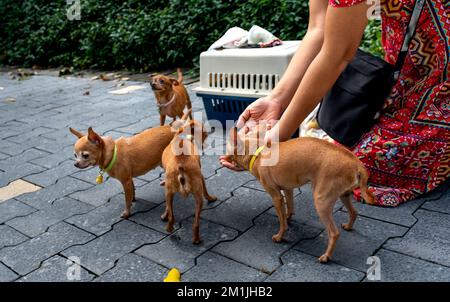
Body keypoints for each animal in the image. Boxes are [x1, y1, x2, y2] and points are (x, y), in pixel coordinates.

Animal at [225, 126, 376, 264]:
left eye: (229, 152)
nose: (224, 157)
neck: (259, 153)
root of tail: (356, 163)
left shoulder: (276, 197)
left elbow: (281, 221)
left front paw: (280, 236)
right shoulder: (288, 190)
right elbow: (289, 208)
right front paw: (288, 218)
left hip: (321, 201)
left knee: (334, 233)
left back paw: (326, 256)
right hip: (343, 195)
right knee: (354, 212)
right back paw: (348, 226)